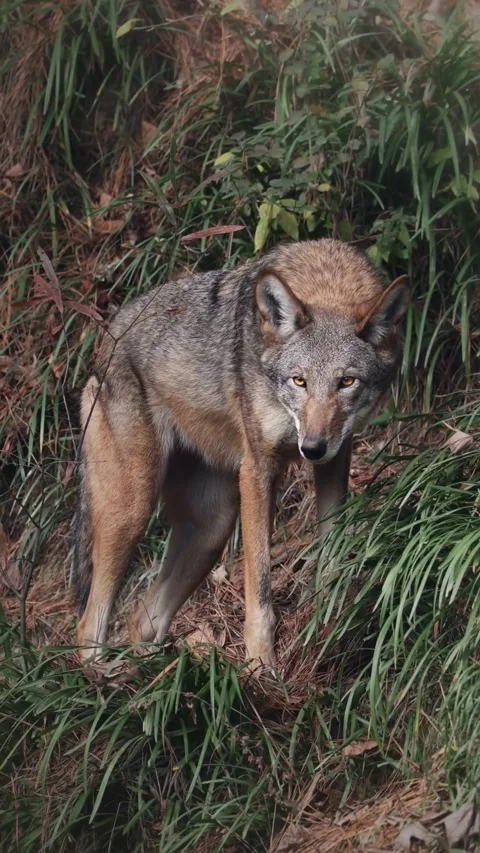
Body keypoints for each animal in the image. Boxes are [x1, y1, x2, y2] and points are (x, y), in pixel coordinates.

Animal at [72, 239, 409, 668]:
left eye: (347, 382)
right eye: (299, 381)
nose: (311, 448)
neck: (326, 281)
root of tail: (105, 341)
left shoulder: (335, 460)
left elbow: (333, 549)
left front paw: (331, 617)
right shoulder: (257, 471)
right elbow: (260, 589)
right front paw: (261, 666)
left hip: (212, 528)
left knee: (143, 618)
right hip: (132, 511)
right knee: (89, 625)